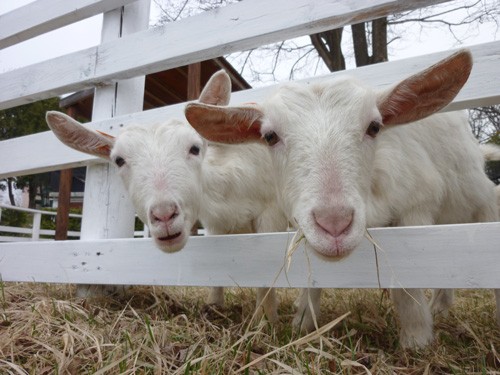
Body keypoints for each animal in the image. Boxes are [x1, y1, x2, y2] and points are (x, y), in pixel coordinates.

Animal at [47, 72, 290, 324]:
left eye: (194, 148)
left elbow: (267, 277)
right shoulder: (216, 226)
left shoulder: (271, 216)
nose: (164, 215)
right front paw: (214, 307)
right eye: (119, 160)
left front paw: (265, 321)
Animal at [185, 50, 500, 350]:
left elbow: (407, 281)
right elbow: (313, 277)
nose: (334, 223)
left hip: (481, 205)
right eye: (270, 136)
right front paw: (303, 323)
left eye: (374, 127)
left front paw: (416, 338)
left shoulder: (416, 208)